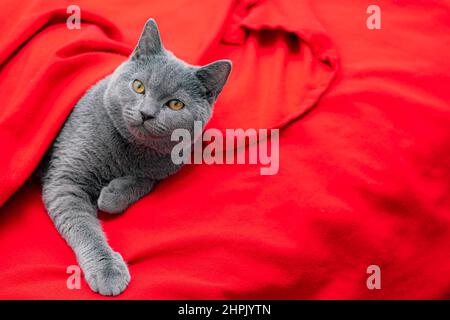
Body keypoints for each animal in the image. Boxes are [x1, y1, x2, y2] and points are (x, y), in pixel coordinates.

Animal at [39, 18, 232, 296]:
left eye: (175, 104)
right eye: (138, 86)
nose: (146, 113)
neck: (130, 152)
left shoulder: (166, 165)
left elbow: (146, 181)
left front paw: (111, 195)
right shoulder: (65, 179)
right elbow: (85, 227)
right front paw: (108, 270)